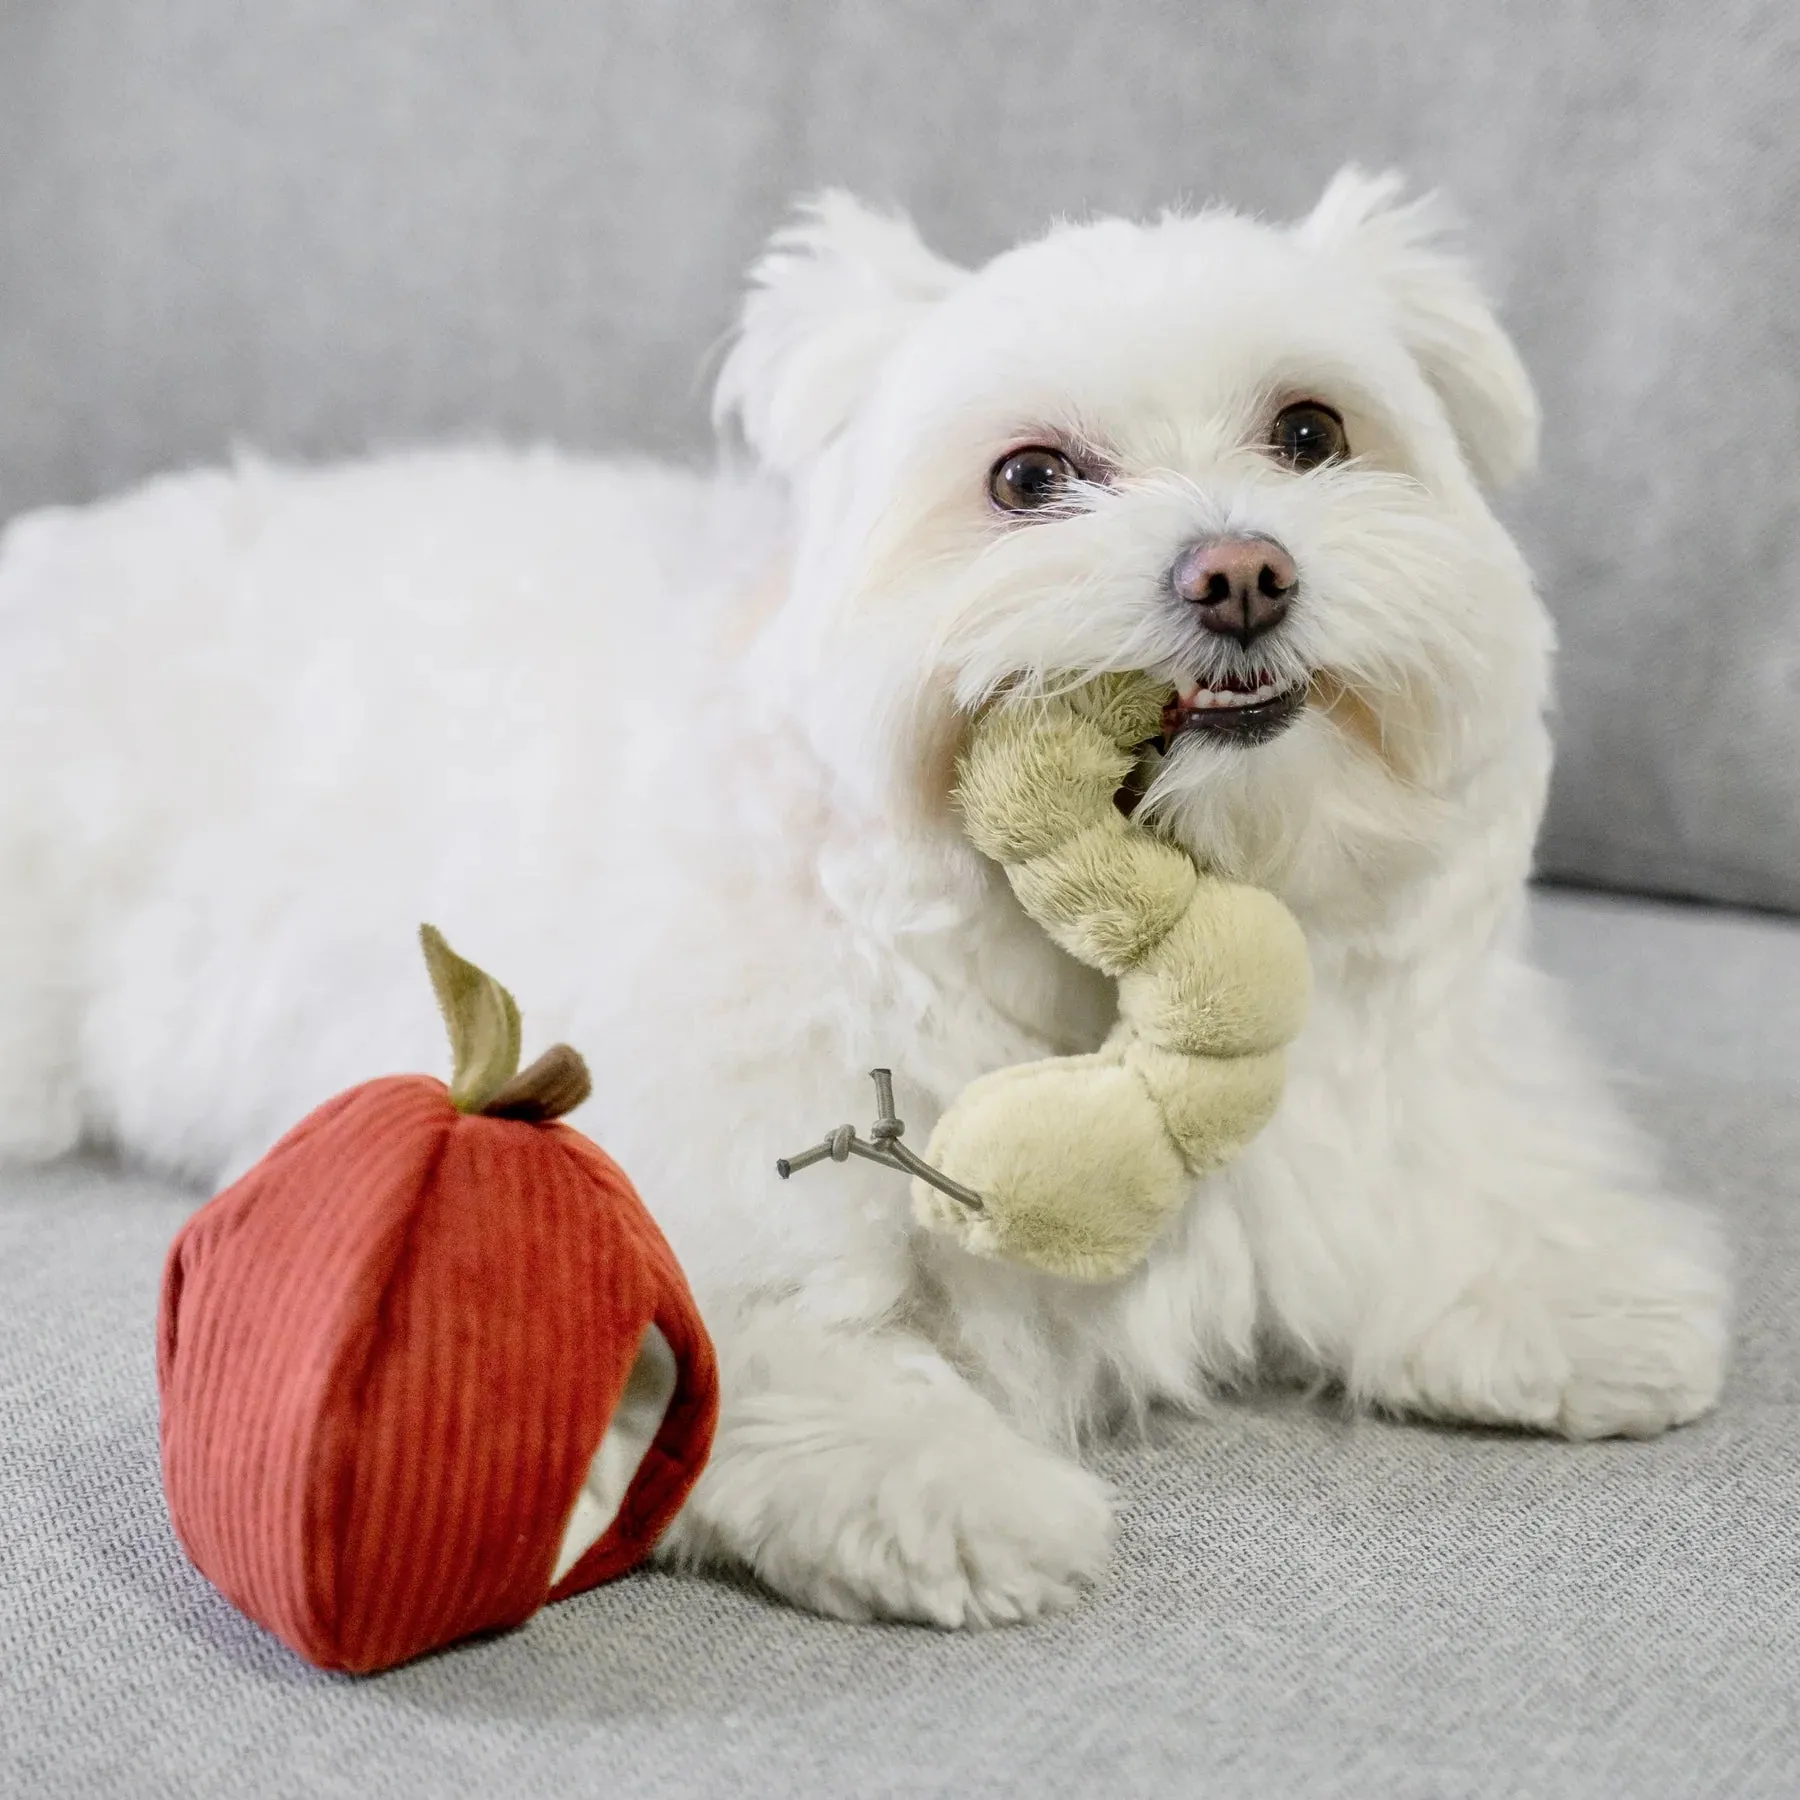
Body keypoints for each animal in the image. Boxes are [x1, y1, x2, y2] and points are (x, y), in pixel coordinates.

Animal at [0, 169, 1728, 1634]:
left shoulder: (1381, 1077)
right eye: (1029, 478)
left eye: (1312, 434)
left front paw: (1567, 1291)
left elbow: (1436, 1189)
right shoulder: (679, 1176)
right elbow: (770, 1347)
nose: (1241, 571)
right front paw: (944, 1492)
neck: (1108, 940)